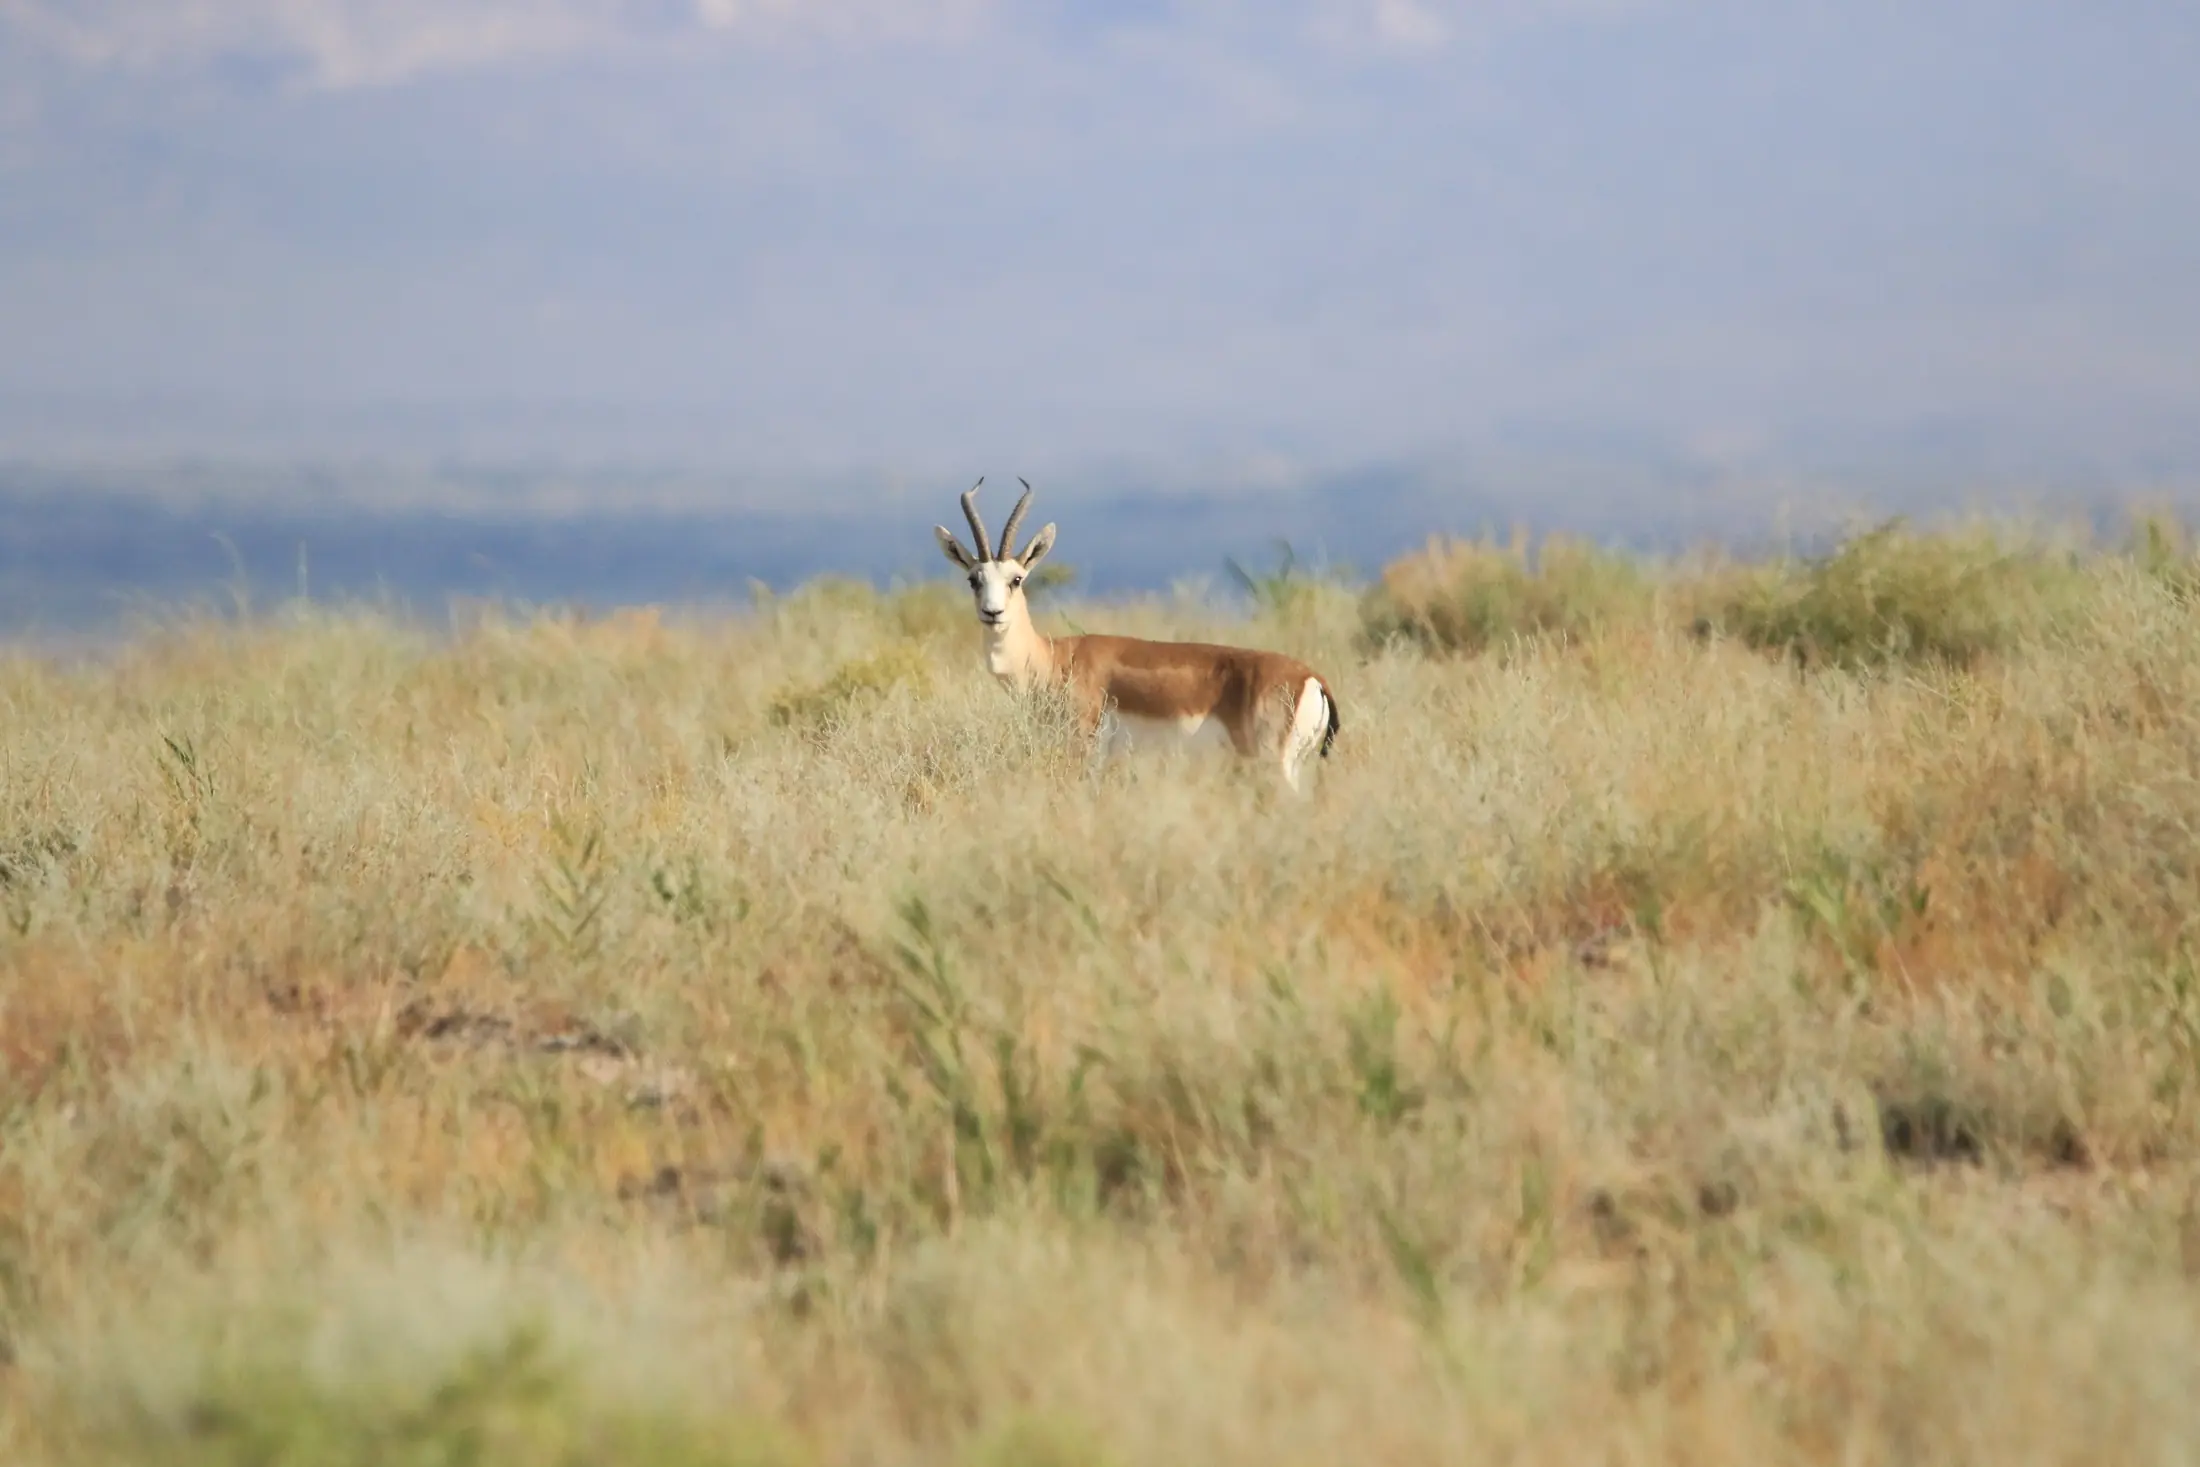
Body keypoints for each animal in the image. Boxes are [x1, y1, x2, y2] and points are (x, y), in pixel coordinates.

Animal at [934, 478, 1341, 791]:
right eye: (974, 579)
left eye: (1016, 579)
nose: (993, 613)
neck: (1053, 659)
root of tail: (1311, 678)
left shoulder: (1085, 748)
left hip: (1276, 767)